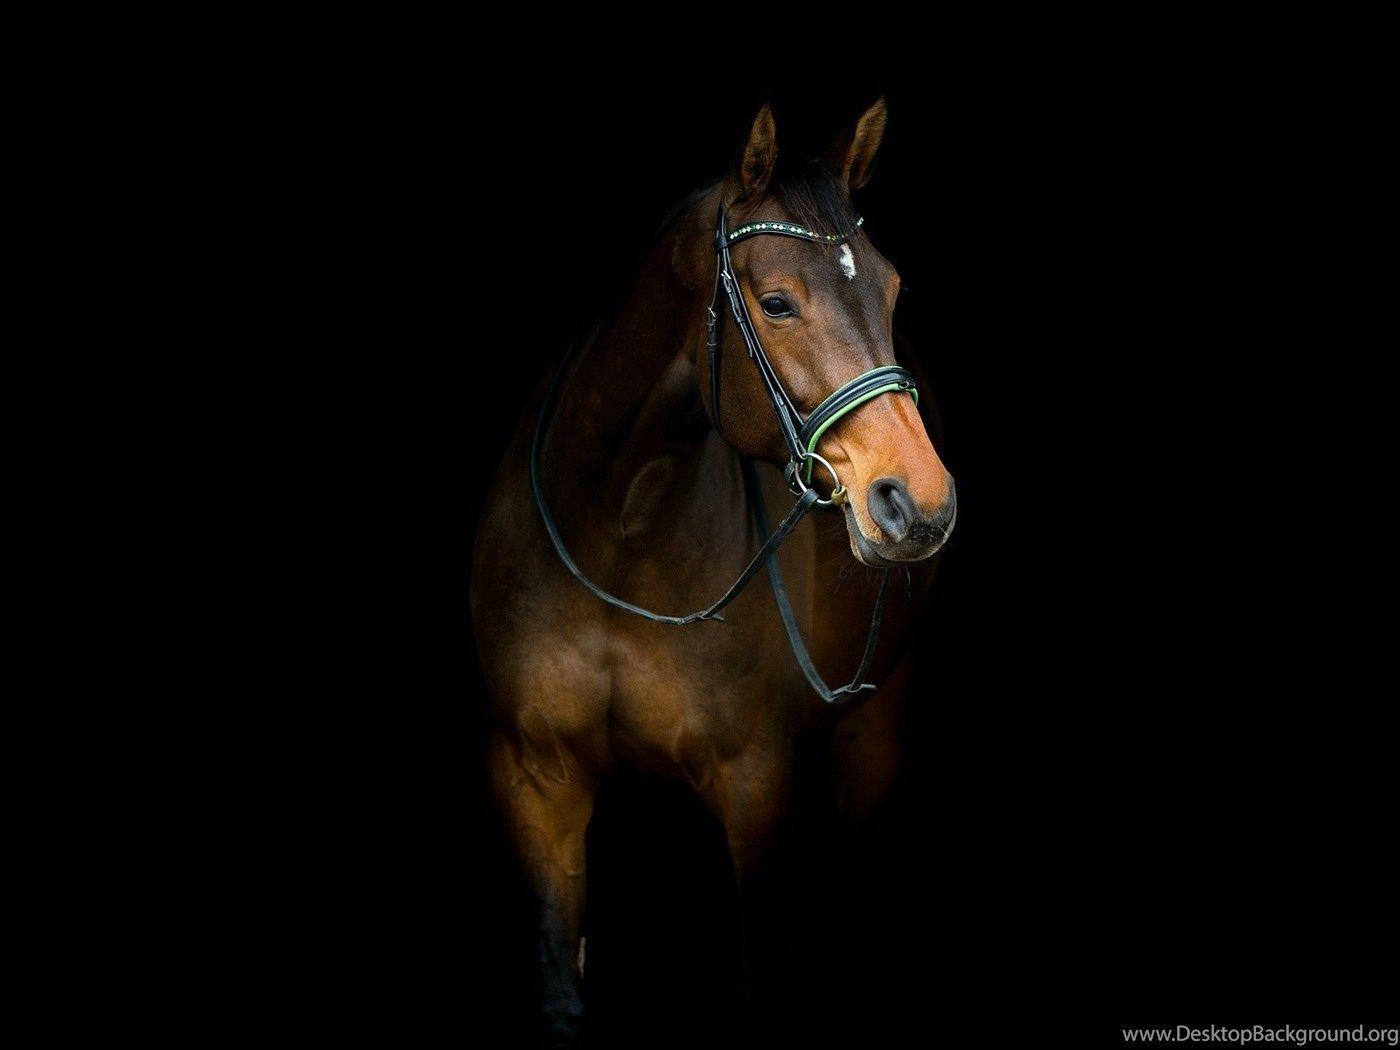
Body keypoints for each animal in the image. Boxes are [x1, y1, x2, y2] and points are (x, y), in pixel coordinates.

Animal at [471, 99, 956, 1046]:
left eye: (890, 291)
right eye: (776, 303)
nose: (919, 502)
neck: (618, 530)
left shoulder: (757, 790)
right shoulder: (536, 781)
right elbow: (560, 983)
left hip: (872, 739)